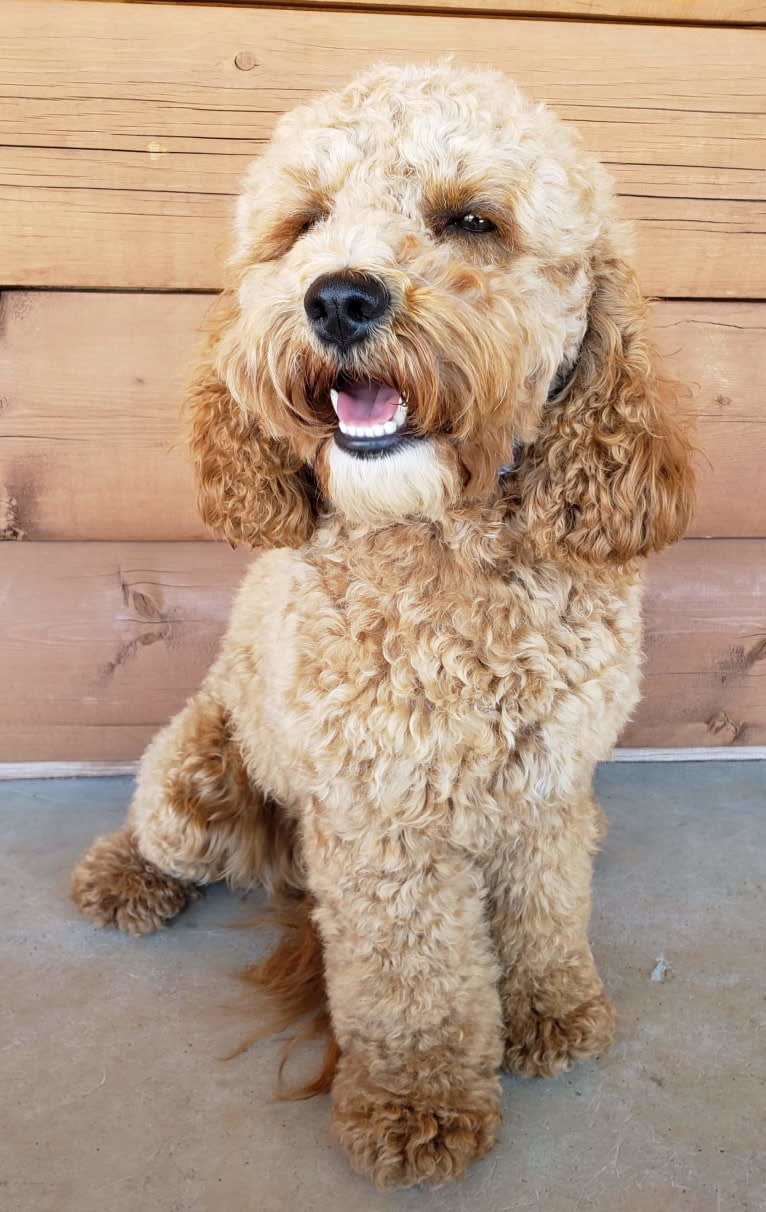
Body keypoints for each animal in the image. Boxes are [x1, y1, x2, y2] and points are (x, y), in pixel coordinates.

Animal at [71, 61, 693, 1187]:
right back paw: (122, 875)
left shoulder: (547, 780)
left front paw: (551, 1012)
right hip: (194, 780)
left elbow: (543, 905)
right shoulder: (380, 822)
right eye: (303, 224)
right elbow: (412, 981)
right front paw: (417, 1105)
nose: (338, 295)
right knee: (164, 836)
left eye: (472, 220)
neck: (446, 549)